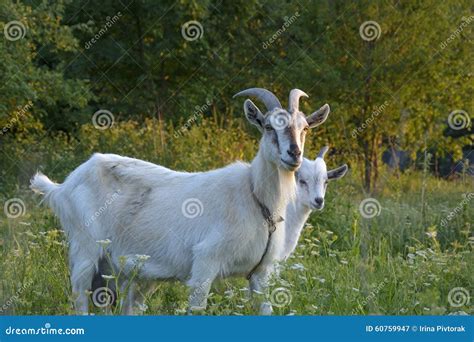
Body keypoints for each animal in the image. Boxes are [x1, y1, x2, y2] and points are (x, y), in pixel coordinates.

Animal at [31, 88, 332, 316]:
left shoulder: (261, 274)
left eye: (305, 128)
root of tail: (62, 187)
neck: (255, 198)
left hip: (120, 271)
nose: (294, 153)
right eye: (269, 126)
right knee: (79, 296)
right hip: (86, 248)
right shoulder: (205, 263)